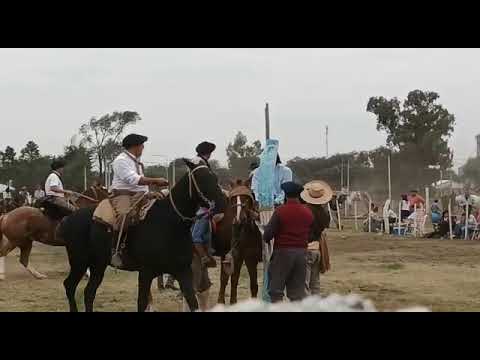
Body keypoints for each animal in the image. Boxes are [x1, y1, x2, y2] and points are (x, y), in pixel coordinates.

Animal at [59, 160, 225, 312]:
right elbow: (142, 303)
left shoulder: (183, 271)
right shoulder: (146, 273)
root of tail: (68, 218)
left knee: (89, 293)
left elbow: (192, 301)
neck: (170, 222)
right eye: (201, 178)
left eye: (215, 177)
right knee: (69, 286)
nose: (222, 204)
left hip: (97, 265)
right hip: (80, 262)